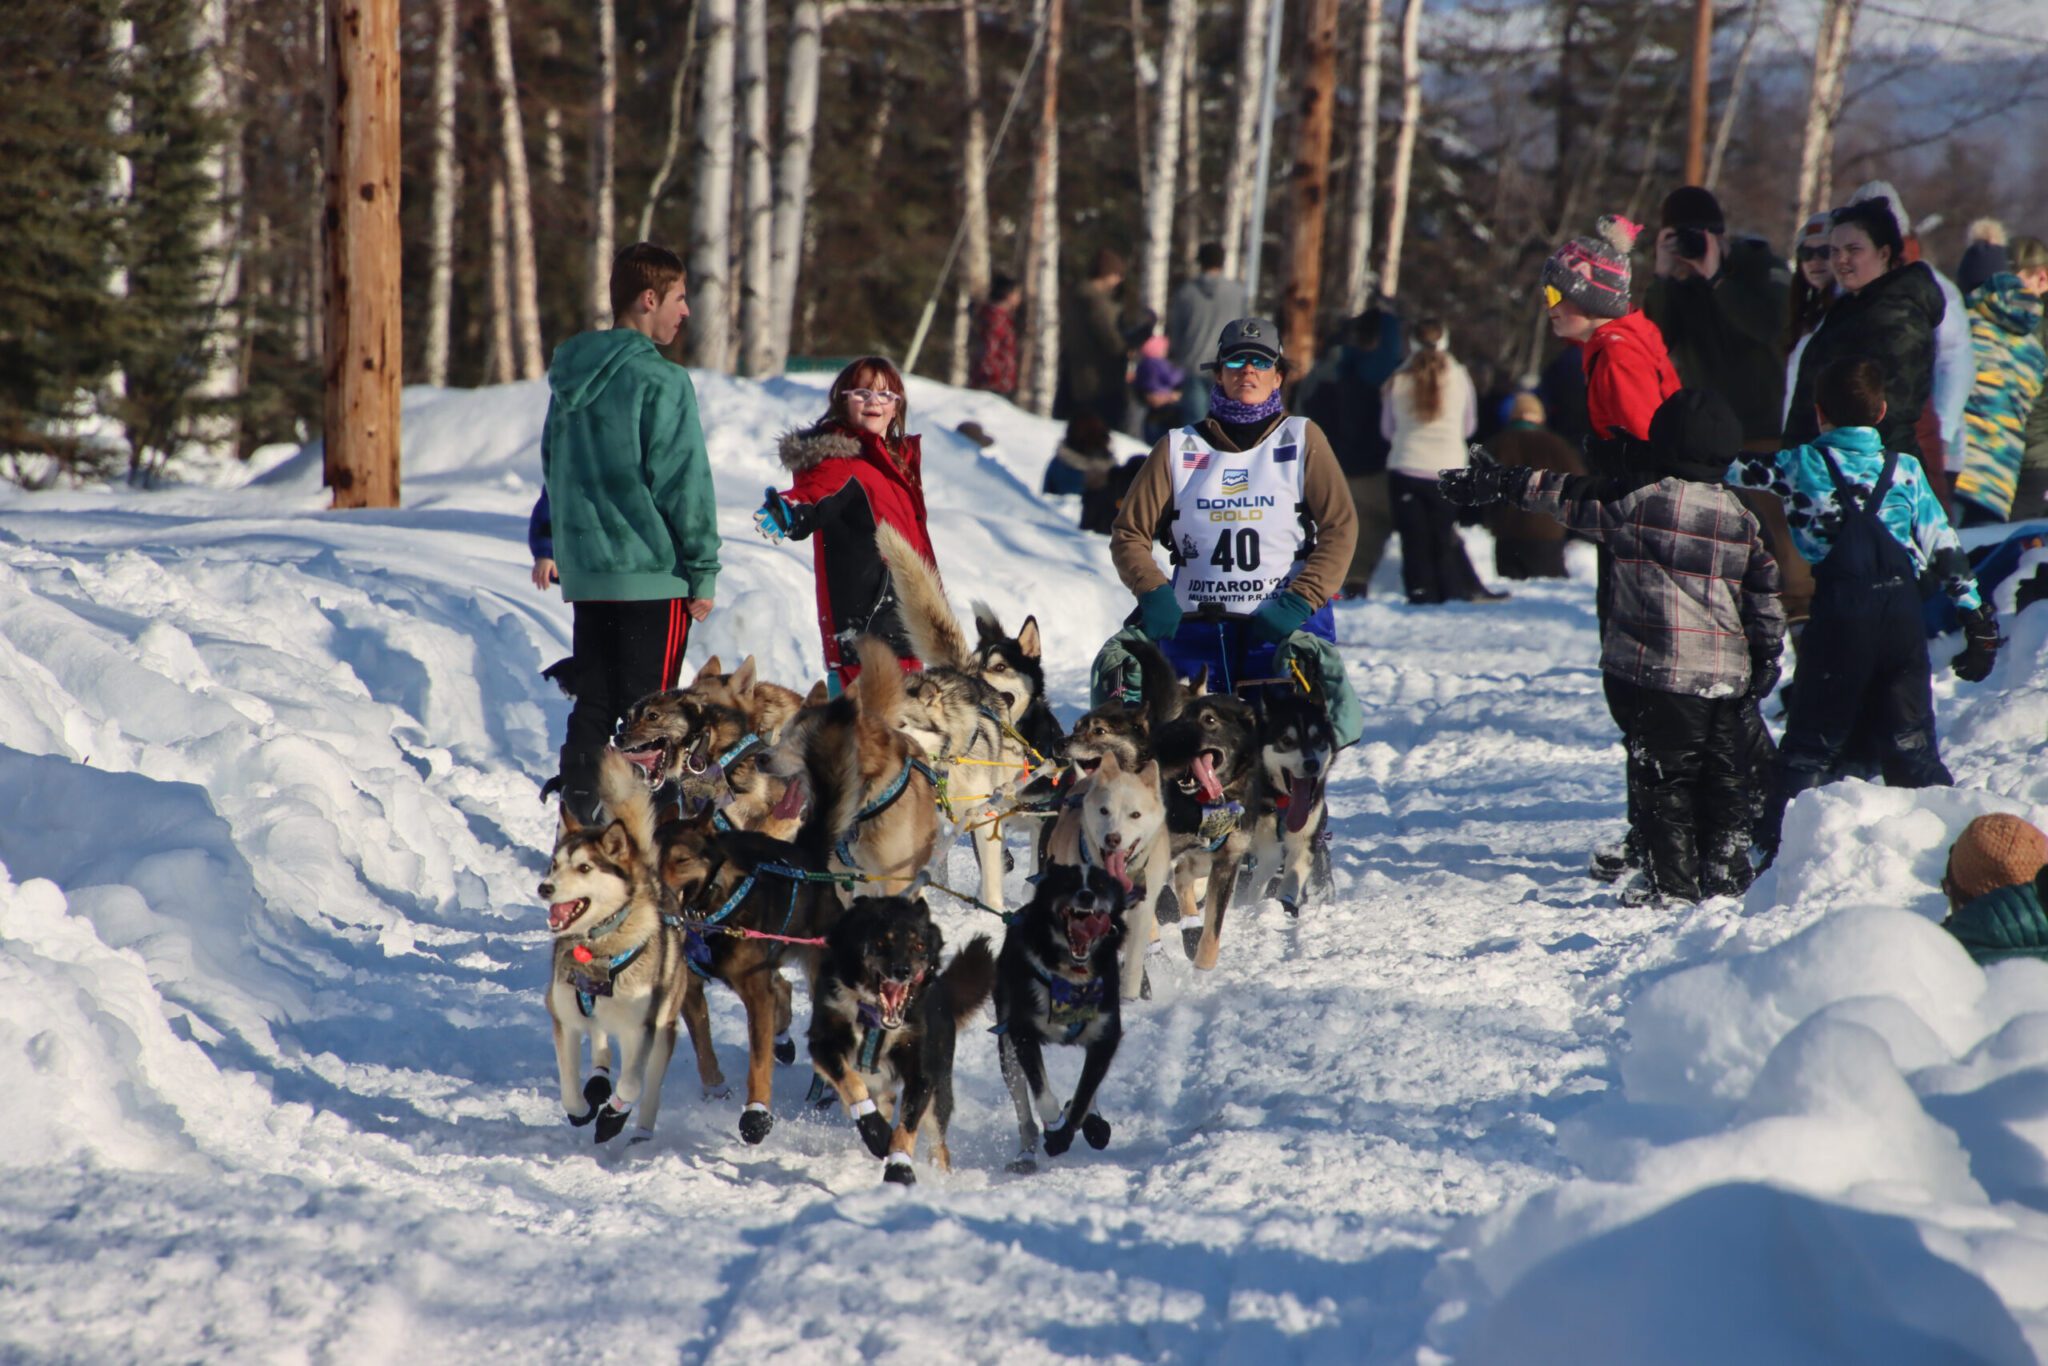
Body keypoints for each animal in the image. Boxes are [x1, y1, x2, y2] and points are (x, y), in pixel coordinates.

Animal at [987, 864, 1122, 1179]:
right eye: (1068, 882)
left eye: (1099, 884)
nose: (1086, 895)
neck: (1071, 977)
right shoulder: (1022, 1032)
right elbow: (1044, 1096)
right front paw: (1056, 1129)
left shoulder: (1105, 1038)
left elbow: (1083, 1096)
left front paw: (1072, 1124)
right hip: (1007, 1046)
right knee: (1024, 1111)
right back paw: (1027, 1154)